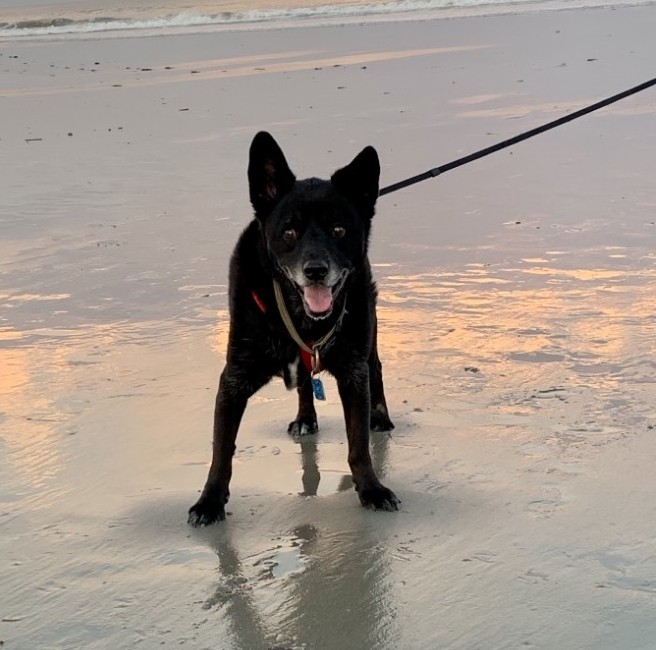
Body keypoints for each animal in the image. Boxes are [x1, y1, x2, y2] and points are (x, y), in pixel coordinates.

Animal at [188, 131, 399, 526]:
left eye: (338, 230)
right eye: (289, 232)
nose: (316, 270)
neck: (299, 315)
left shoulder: (353, 373)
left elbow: (359, 444)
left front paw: (371, 489)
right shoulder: (233, 380)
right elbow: (221, 449)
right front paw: (209, 501)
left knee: (375, 368)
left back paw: (380, 416)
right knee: (304, 383)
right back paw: (305, 418)